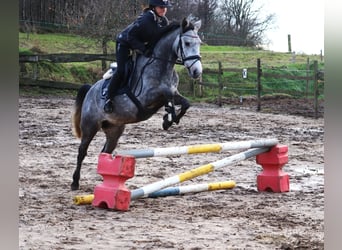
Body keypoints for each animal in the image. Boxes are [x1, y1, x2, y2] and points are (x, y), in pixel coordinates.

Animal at [70, 17, 202, 189]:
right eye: (186, 43)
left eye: (199, 43)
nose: (197, 72)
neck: (161, 66)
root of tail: (90, 90)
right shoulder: (148, 96)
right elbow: (167, 97)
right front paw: (168, 117)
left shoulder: (173, 93)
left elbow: (185, 103)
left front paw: (168, 120)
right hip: (90, 126)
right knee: (82, 151)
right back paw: (75, 182)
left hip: (114, 130)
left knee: (105, 151)